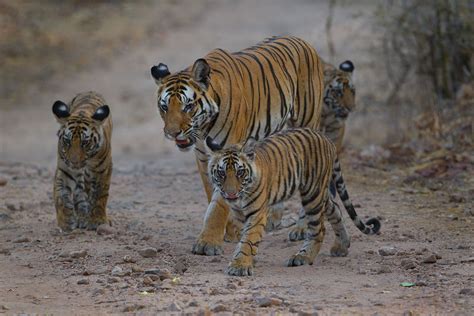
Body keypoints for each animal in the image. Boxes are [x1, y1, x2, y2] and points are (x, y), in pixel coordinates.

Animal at [52, 90, 113, 231]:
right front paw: (66, 221)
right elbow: (61, 195)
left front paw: (98, 220)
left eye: (85, 142)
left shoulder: (103, 170)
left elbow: (100, 195)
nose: (74, 162)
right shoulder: (65, 169)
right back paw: (81, 215)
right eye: (67, 141)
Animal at [150, 35, 324, 256]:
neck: (203, 128)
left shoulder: (228, 150)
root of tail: (302, 41)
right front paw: (231, 231)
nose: (172, 133)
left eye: (187, 106)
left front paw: (208, 243)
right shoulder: (203, 156)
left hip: (306, 122)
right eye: (164, 107)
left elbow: (219, 204)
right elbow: (214, 193)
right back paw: (273, 219)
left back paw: (301, 228)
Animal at [206, 128, 382, 276]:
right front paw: (248, 259)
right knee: (336, 209)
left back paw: (303, 257)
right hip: (320, 195)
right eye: (221, 173)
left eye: (240, 172)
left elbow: (248, 240)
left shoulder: (256, 214)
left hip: (312, 194)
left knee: (319, 230)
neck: (240, 199)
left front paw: (240, 266)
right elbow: (246, 238)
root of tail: (326, 139)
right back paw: (341, 246)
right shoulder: (239, 214)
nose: (231, 193)